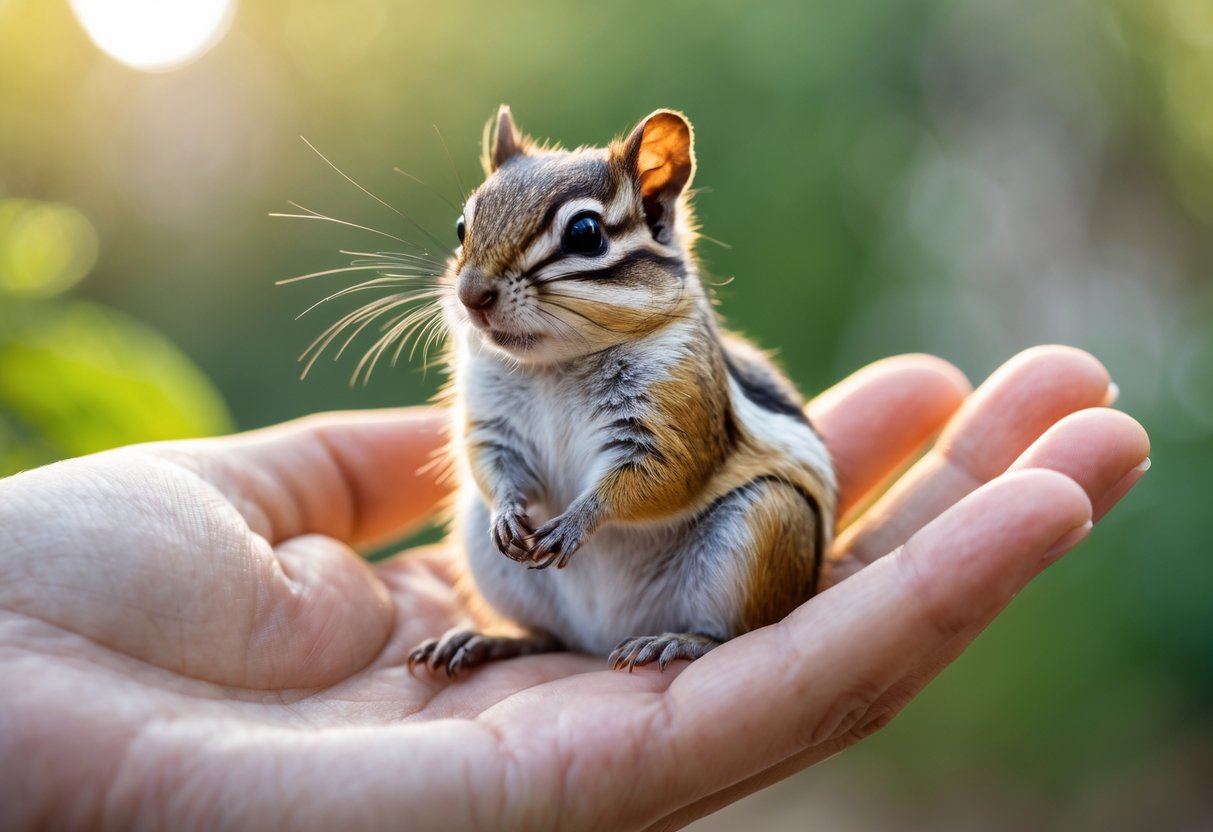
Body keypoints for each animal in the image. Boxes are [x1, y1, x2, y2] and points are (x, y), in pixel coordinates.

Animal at [407, 106, 837, 675]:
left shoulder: (675, 403)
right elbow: (488, 460)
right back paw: (485, 641)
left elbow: (661, 475)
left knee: (736, 632)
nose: (470, 295)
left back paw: (675, 641)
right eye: (462, 227)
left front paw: (576, 522)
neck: (555, 365)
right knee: (547, 636)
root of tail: (602, 635)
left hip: (766, 521)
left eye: (585, 233)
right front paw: (507, 512)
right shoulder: (491, 418)